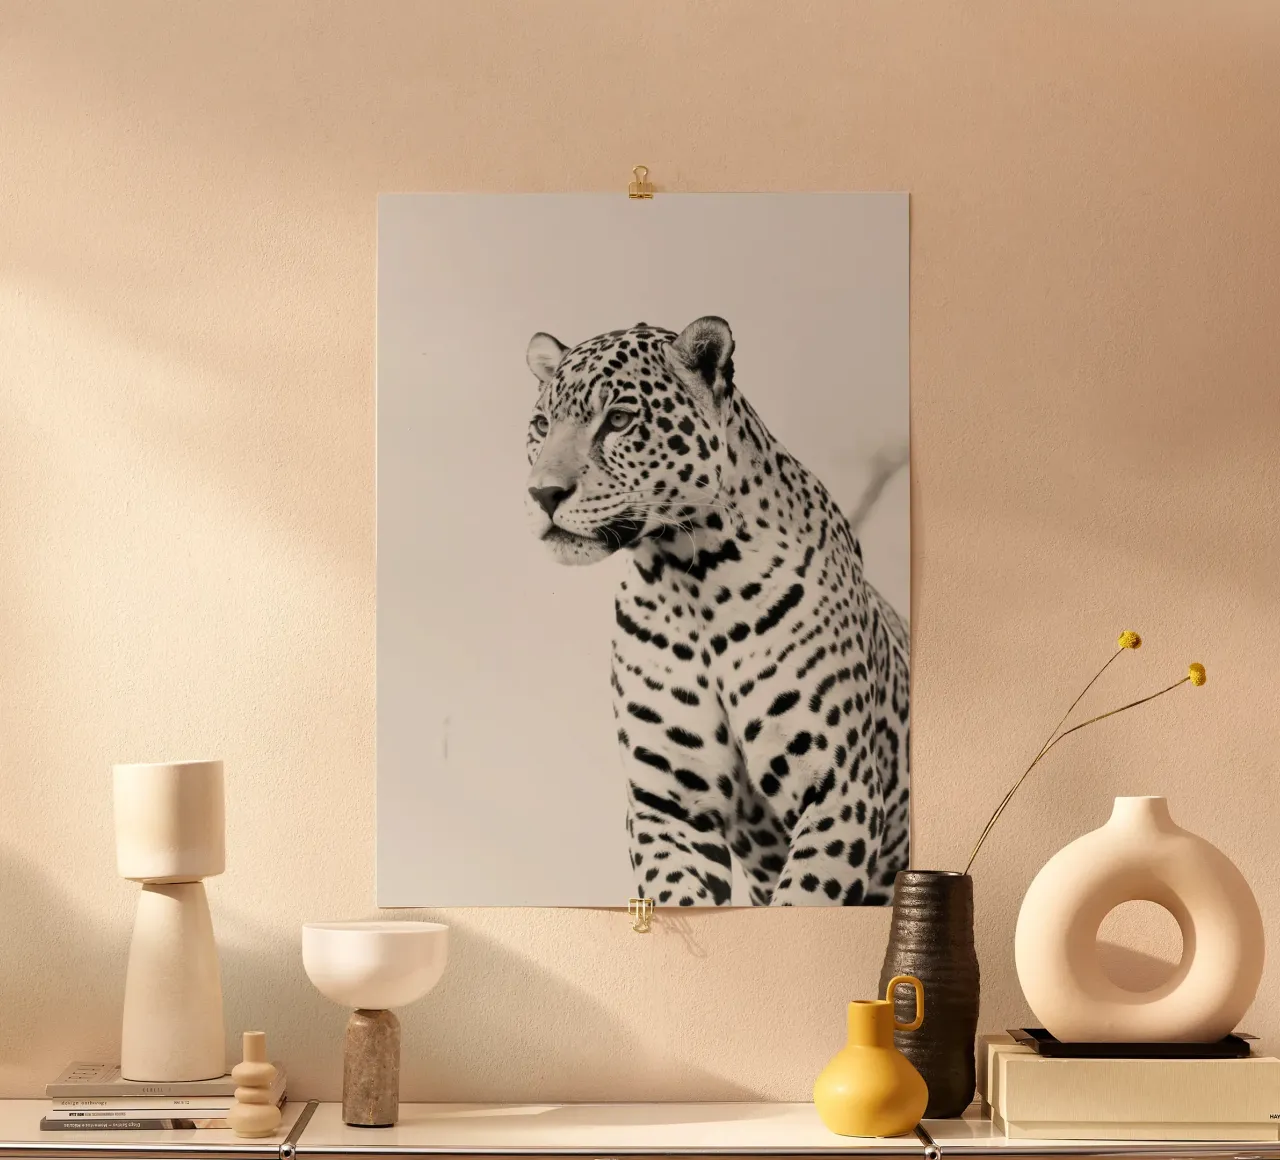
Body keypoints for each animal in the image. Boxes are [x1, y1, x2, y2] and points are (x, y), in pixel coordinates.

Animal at [523, 316, 909, 906]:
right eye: (542, 425)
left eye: (618, 420)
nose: (543, 494)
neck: (691, 578)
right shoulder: (669, 805)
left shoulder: (838, 788)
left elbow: (804, 898)